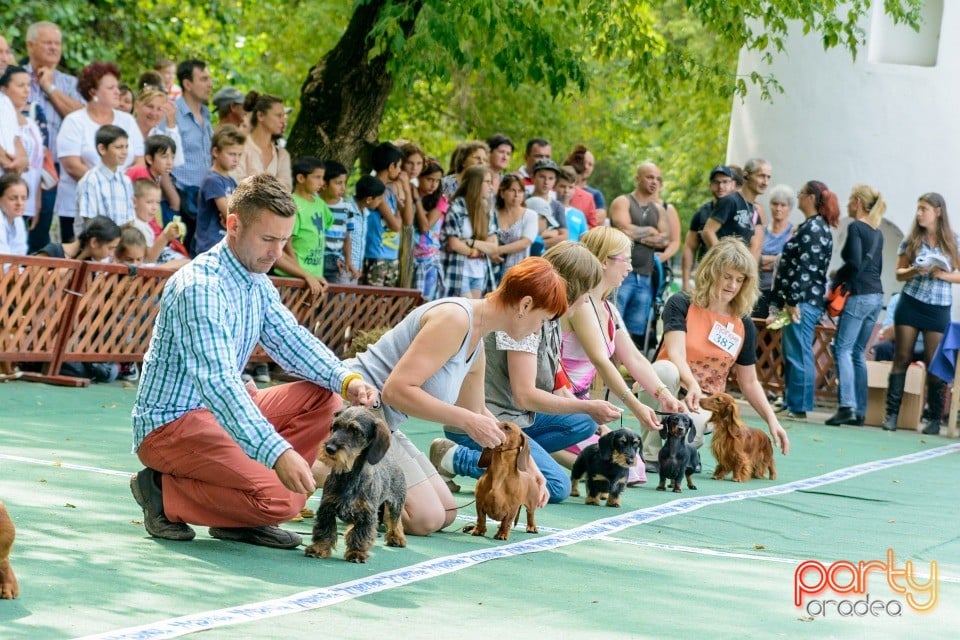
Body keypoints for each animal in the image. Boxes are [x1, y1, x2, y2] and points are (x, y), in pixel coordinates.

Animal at [302, 408, 404, 564]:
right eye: (335, 426)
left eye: (355, 431)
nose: (330, 448)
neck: (349, 475)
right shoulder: (327, 508)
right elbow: (325, 530)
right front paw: (318, 548)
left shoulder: (367, 515)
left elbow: (360, 534)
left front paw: (356, 552)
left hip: (397, 501)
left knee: (395, 520)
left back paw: (396, 537)